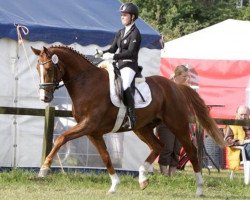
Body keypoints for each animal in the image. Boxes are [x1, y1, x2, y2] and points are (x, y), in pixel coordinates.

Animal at [31, 45, 227, 195]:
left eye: (49, 69)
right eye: (37, 69)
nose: (44, 97)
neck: (86, 83)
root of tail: (176, 86)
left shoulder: (87, 125)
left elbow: (61, 138)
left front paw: (44, 169)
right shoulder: (93, 132)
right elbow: (106, 157)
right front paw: (114, 185)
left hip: (177, 125)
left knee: (192, 151)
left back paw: (199, 189)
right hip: (143, 128)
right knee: (158, 146)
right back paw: (142, 178)